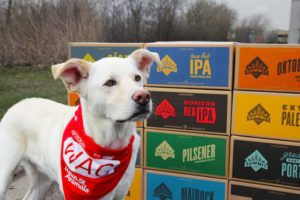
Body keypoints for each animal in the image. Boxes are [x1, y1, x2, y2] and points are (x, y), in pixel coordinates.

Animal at [0, 48, 159, 200]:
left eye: (137, 78)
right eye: (109, 83)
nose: (144, 96)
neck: (111, 143)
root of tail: (19, 103)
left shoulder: (120, 194)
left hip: (42, 179)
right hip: (5, 172)